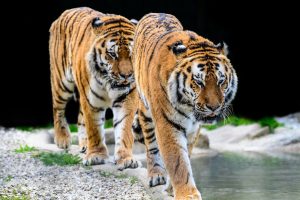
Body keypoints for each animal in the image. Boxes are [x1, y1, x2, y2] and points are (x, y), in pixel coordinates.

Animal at [49, 6, 138, 169]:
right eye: (112, 54)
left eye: (131, 54)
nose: (126, 75)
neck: (109, 83)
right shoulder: (91, 101)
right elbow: (94, 128)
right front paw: (96, 156)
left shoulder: (127, 98)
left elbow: (124, 129)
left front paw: (126, 159)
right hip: (62, 82)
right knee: (58, 109)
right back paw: (62, 139)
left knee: (80, 118)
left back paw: (84, 145)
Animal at [131, 13, 237, 199]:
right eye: (199, 82)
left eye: (221, 81)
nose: (214, 107)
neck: (188, 107)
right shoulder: (167, 124)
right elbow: (178, 161)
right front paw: (187, 194)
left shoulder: (194, 128)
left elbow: (186, 154)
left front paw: (172, 188)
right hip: (145, 110)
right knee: (151, 145)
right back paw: (156, 175)